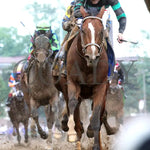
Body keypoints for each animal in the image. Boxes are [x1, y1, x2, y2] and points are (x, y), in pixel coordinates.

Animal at [67, 6, 109, 149]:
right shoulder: (72, 82)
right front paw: (71, 133)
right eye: (83, 30)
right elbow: (72, 103)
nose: (92, 56)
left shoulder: (101, 86)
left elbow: (96, 116)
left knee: (100, 115)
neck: (88, 66)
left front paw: (95, 142)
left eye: (101, 31)